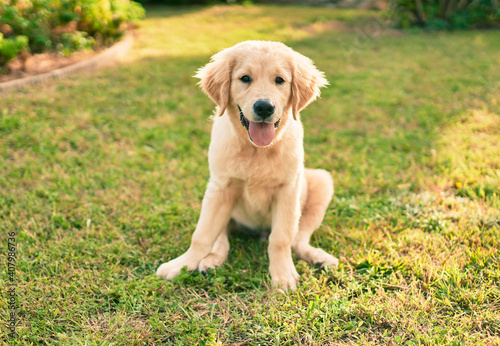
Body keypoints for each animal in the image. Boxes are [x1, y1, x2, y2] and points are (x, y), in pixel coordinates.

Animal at [156, 39, 338, 290]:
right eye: (245, 78)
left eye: (279, 80)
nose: (264, 107)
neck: (256, 150)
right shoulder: (221, 186)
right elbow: (202, 235)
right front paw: (182, 264)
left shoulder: (288, 190)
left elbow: (281, 238)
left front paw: (282, 275)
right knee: (221, 238)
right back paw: (211, 261)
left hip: (321, 182)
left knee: (297, 240)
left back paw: (320, 258)